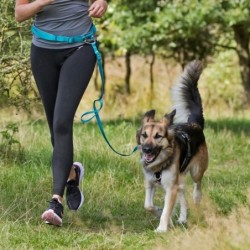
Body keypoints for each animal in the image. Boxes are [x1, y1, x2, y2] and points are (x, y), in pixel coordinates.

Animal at [136, 60, 208, 232]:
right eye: (144, 135)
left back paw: (196, 199)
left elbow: (167, 208)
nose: (147, 150)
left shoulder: (171, 187)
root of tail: (195, 124)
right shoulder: (150, 183)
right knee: (183, 195)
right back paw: (182, 218)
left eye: (158, 136)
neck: (160, 164)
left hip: (196, 171)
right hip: (179, 178)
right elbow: (148, 205)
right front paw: (158, 211)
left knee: (197, 185)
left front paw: (162, 227)